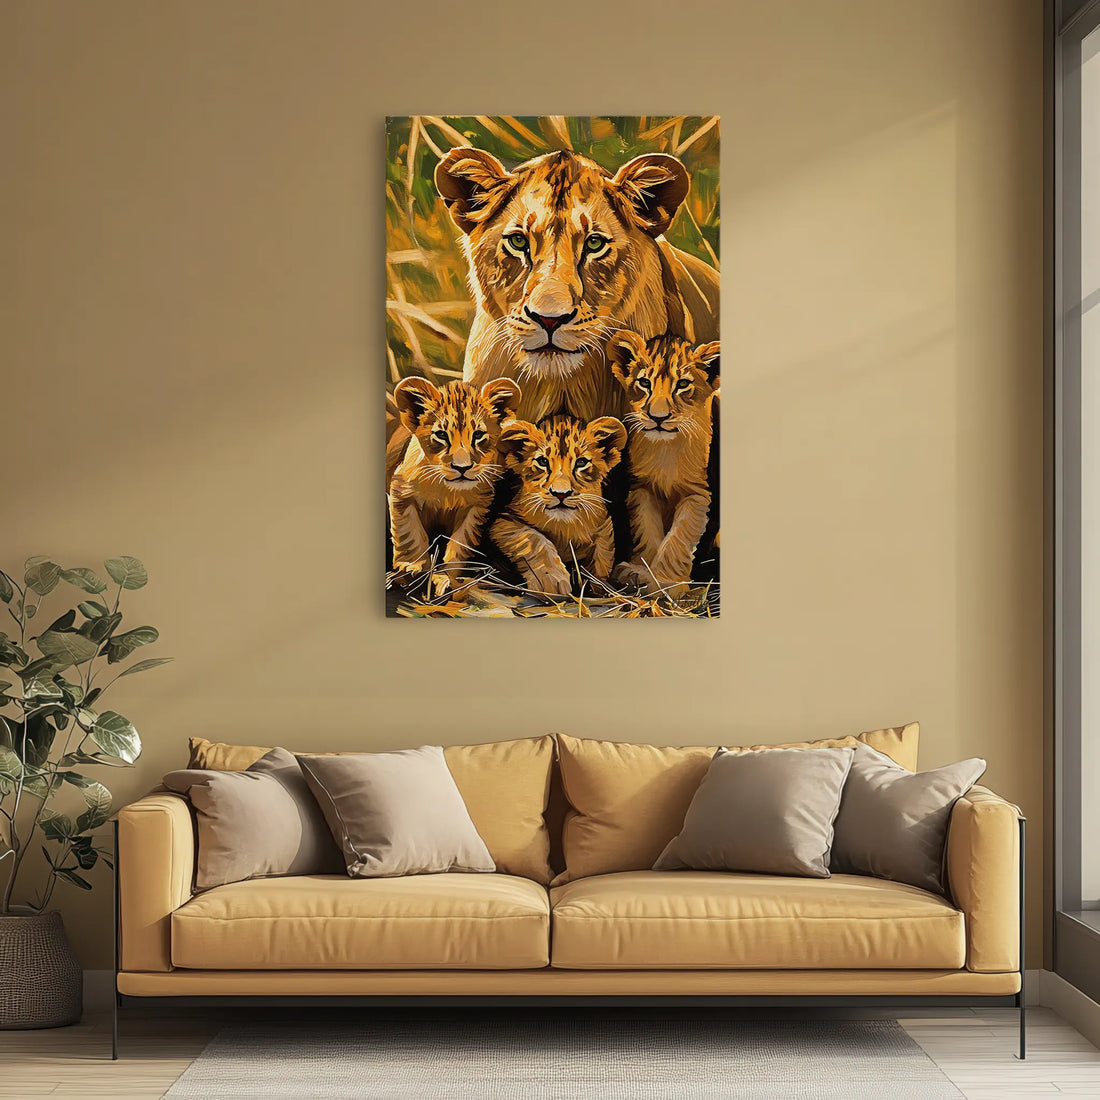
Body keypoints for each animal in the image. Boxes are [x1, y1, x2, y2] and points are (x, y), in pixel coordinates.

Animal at [389, 376, 520, 595]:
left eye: (478, 435)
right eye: (442, 435)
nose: (462, 467)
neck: (446, 491)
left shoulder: (476, 507)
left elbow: (459, 544)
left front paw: (449, 578)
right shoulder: (401, 492)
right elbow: (410, 534)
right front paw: (412, 568)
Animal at [491, 414, 627, 597]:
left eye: (581, 462)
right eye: (542, 461)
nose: (561, 493)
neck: (564, 527)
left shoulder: (603, 525)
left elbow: (602, 554)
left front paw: (599, 586)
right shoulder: (503, 521)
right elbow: (533, 538)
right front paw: (551, 581)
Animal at [607, 331, 720, 593]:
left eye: (683, 384)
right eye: (644, 383)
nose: (658, 418)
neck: (666, 451)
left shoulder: (699, 493)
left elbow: (679, 536)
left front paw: (667, 582)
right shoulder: (642, 489)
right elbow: (647, 530)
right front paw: (638, 572)